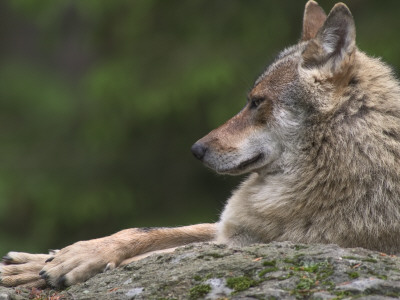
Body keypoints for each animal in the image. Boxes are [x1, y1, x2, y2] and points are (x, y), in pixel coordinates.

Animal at [0, 1, 400, 290]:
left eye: (256, 102)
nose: (196, 149)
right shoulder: (227, 228)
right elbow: (144, 231)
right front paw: (48, 258)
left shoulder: (251, 243)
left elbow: (149, 254)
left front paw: (70, 261)